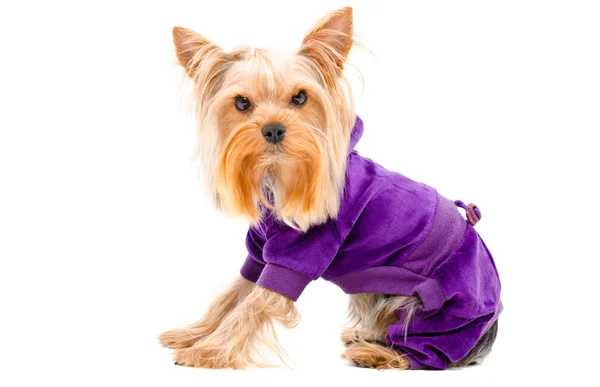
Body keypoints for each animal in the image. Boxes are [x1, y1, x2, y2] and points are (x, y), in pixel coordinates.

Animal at [158, 6, 502, 370]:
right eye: (241, 103)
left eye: (300, 97)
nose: (273, 129)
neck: (280, 175)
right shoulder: (259, 254)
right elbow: (232, 295)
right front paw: (195, 333)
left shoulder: (300, 253)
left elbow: (253, 304)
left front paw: (208, 351)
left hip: (432, 309)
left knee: (427, 354)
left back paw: (375, 353)